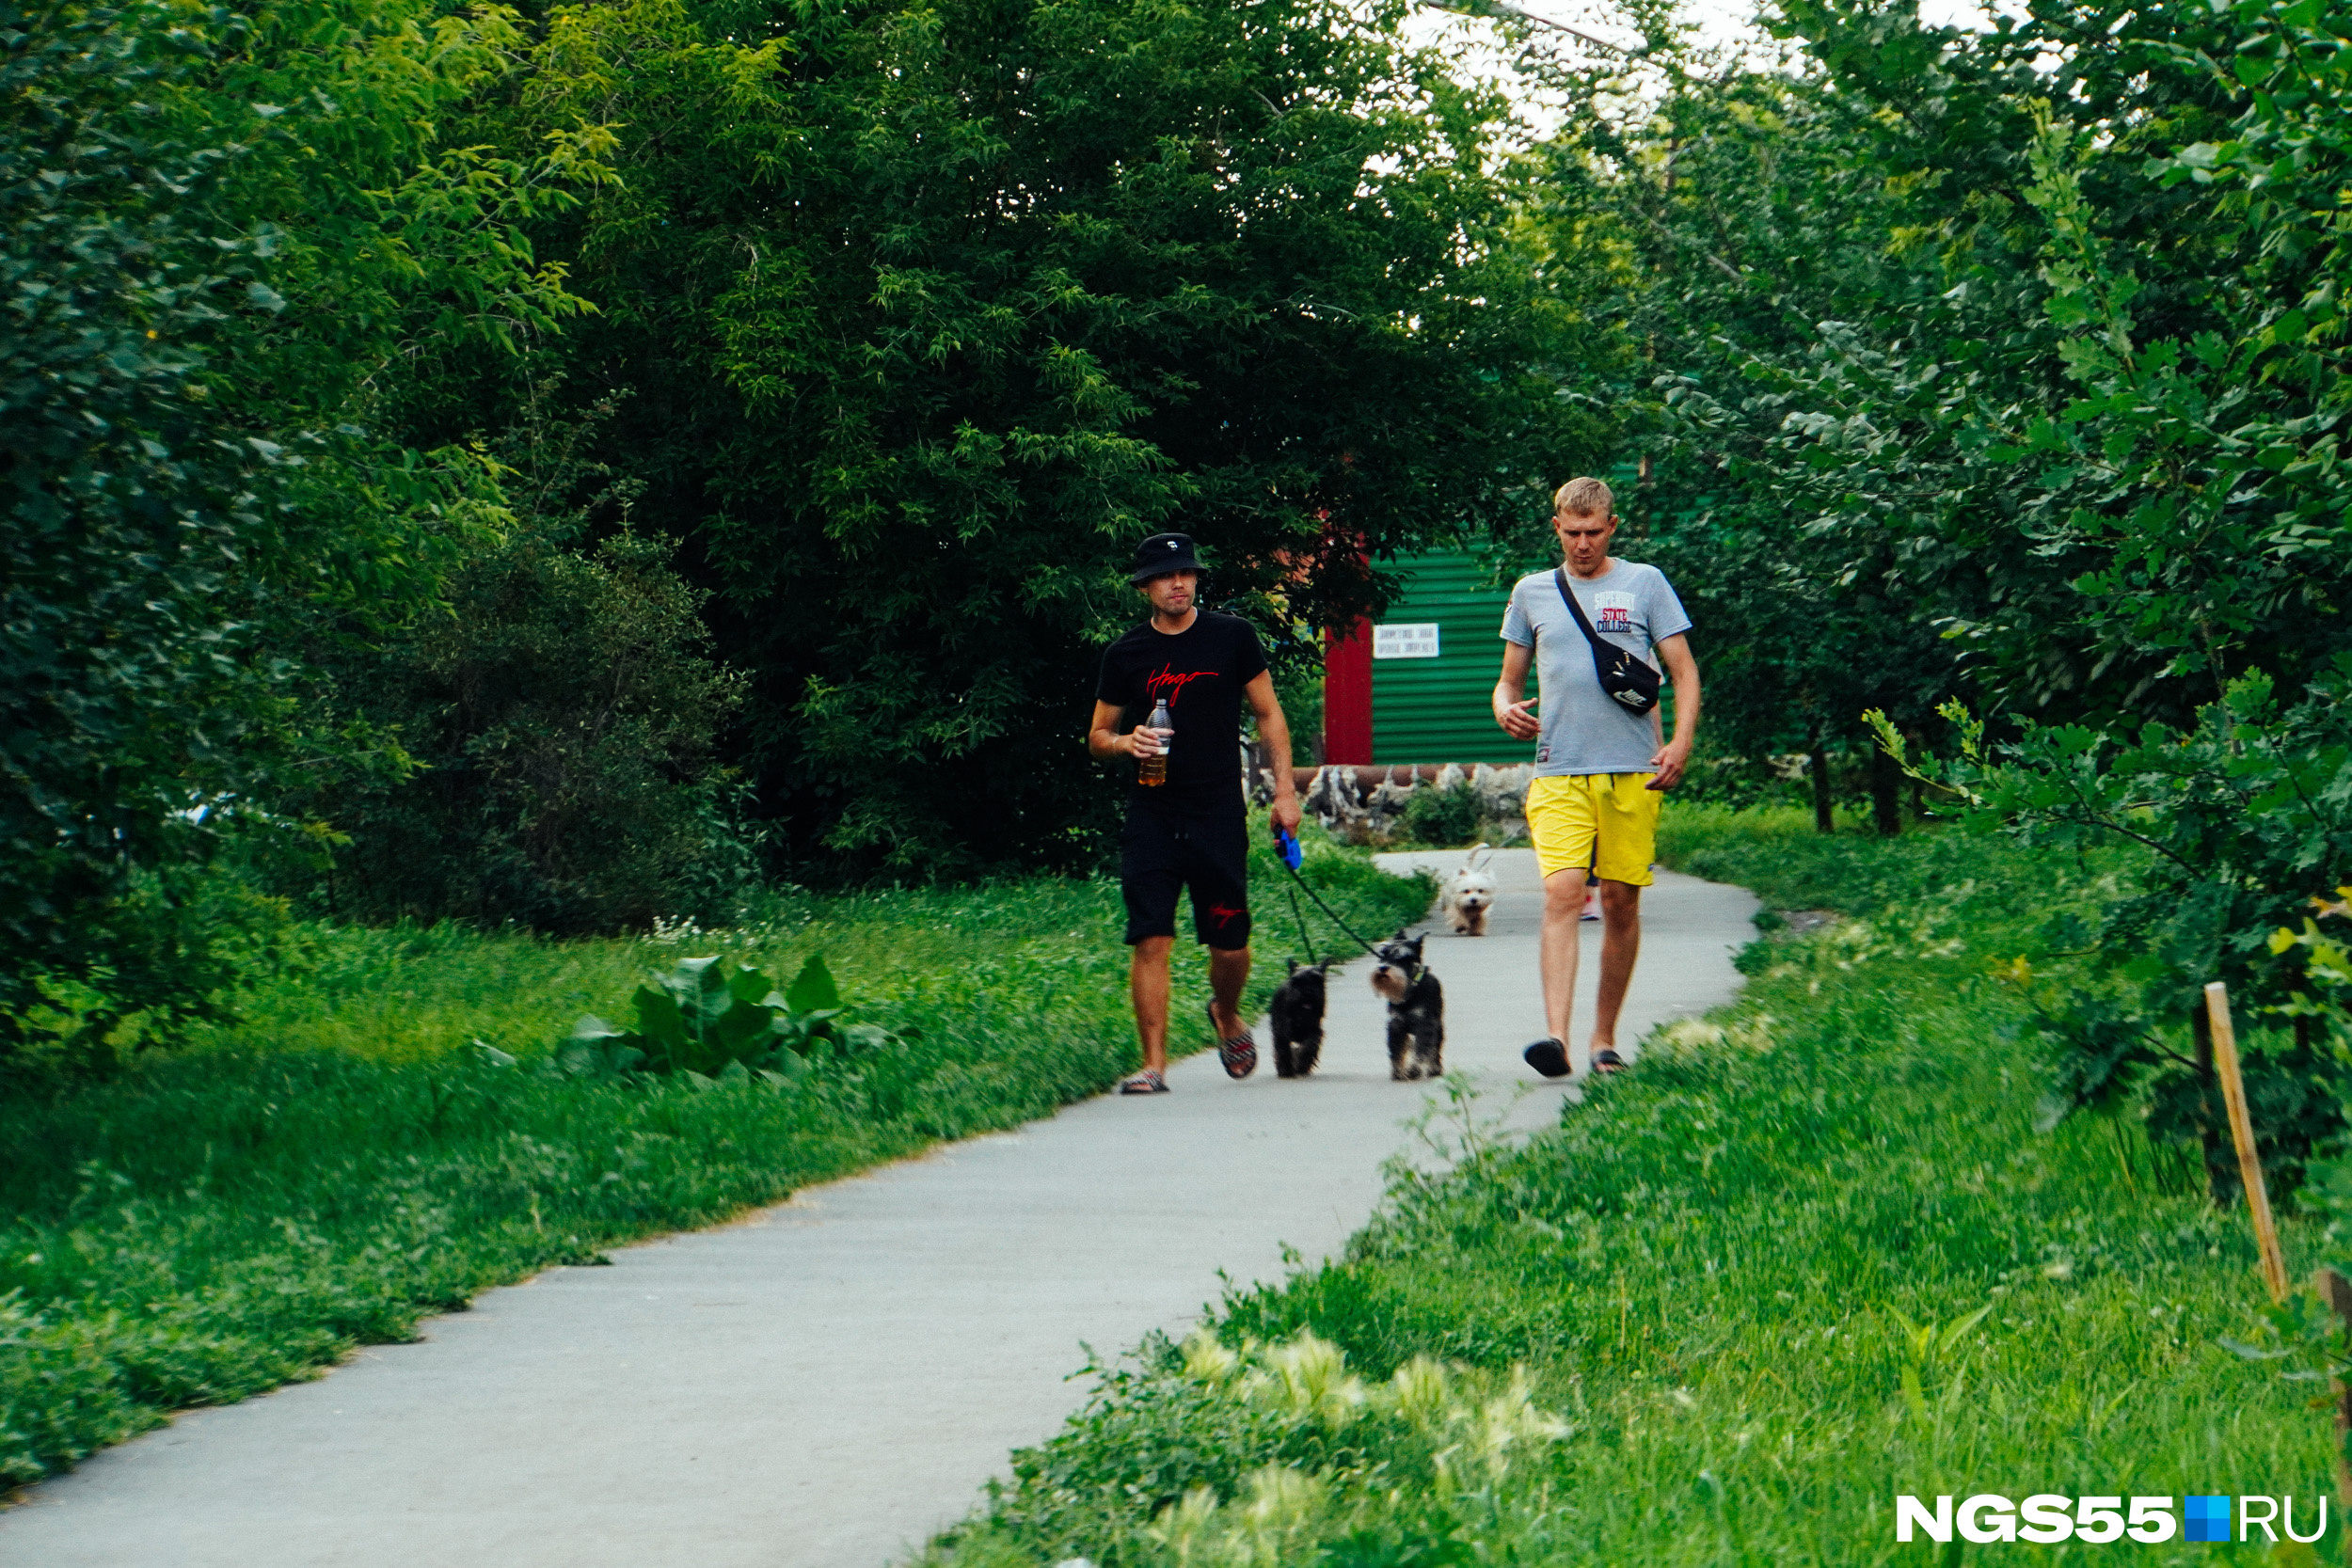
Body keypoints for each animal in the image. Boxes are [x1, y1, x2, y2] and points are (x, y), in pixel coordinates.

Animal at [1270, 958, 1327, 1081]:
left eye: (1318, 979)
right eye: (1295, 980)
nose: (1307, 992)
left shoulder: (1315, 1031)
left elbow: (1309, 1046)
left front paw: (1301, 1065)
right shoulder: (1283, 1031)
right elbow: (1284, 1050)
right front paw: (1286, 1070)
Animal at [1374, 930, 1439, 1081]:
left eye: (1404, 957)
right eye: (1384, 954)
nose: (1383, 968)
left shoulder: (1424, 1025)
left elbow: (1420, 1051)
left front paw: (1413, 1070)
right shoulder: (1396, 1025)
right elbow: (1396, 1051)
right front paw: (1397, 1072)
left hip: (1438, 1026)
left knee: (1435, 1048)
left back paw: (1435, 1069)